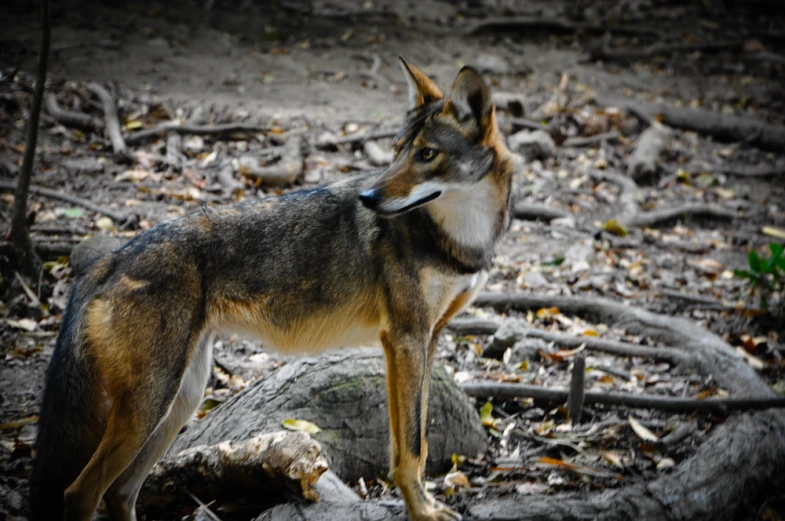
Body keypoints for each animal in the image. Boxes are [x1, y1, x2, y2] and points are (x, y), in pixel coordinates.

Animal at [30, 59, 516, 520]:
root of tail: (111, 258)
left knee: (119, 492)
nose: (368, 199)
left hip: (178, 401)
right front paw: (423, 513)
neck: (461, 237)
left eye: (427, 154)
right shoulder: (404, 340)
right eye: (398, 153)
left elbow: (418, 440)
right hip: (153, 403)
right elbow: (411, 449)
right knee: (81, 492)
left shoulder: (427, 339)